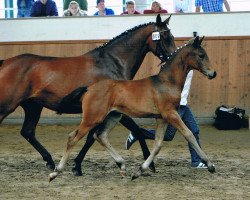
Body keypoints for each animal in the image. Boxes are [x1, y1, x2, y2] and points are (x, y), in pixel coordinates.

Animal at [49, 36, 217, 181]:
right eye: (201, 55)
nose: (213, 73)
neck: (166, 82)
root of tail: (89, 88)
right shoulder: (170, 114)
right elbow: (189, 134)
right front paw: (210, 165)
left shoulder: (161, 117)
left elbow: (158, 144)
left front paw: (139, 171)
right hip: (93, 118)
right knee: (73, 137)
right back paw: (55, 172)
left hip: (113, 116)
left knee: (100, 136)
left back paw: (122, 165)